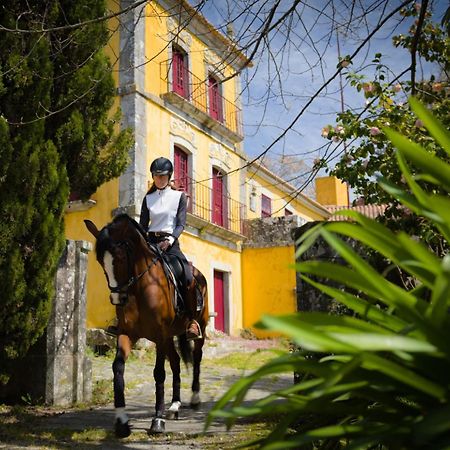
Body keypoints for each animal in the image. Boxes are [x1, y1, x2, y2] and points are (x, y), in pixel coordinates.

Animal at [84, 214, 207, 436]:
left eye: (121, 258)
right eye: (100, 261)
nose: (117, 298)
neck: (140, 288)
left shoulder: (159, 335)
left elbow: (159, 373)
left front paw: (157, 421)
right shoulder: (128, 334)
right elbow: (118, 368)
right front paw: (121, 422)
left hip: (198, 328)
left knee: (196, 358)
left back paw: (194, 398)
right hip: (169, 337)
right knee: (176, 362)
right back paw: (174, 406)